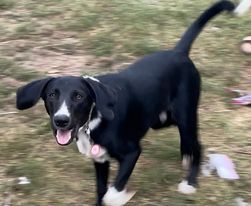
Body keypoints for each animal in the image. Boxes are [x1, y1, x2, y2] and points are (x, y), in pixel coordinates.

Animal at [16, 0, 249, 205]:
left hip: (186, 115)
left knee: (197, 143)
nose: (61, 121)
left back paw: (190, 183)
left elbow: (111, 194)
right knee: (187, 140)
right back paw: (186, 155)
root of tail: (179, 52)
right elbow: (100, 191)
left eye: (78, 96)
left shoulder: (131, 153)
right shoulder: (100, 160)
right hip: (160, 119)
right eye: (51, 95)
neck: (93, 119)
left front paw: (121, 197)